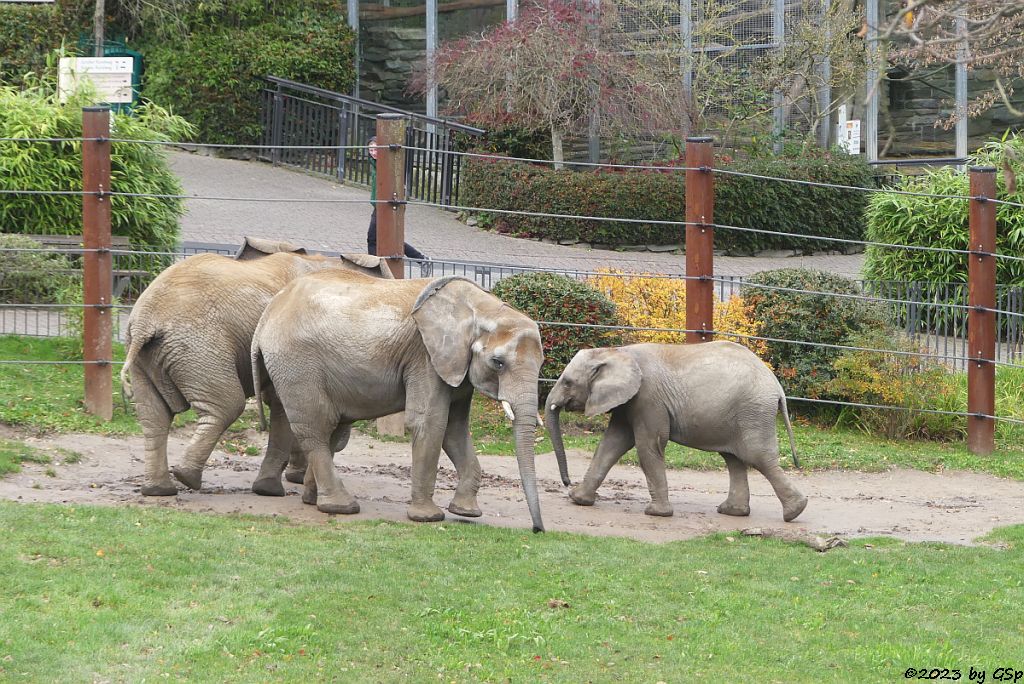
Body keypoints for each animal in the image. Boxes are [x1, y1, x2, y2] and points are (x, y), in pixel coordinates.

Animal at [119, 240, 391, 497]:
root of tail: (145, 321)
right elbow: (285, 408)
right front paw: (270, 489)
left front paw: (294, 479)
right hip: (198, 346)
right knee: (226, 405)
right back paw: (186, 477)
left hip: (147, 355)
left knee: (154, 416)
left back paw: (158, 489)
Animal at [250, 274, 548, 532]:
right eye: (498, 363)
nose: (537, 529)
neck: (483, 307)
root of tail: (269, 312)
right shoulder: (425, 356)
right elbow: (430, 422)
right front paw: (428, 518)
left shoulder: (457, 366)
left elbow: (455, 429)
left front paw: (467, 512)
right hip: (296, 366)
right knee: (316, 429)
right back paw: (342, 507)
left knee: (332, 431)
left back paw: (314, 500)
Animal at [544, 342, 806, 524]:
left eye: (567, 382)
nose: (566, 482)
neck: (617, 351)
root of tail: (776, 385)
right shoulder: (629, 401)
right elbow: (612, 443)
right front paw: (578, 499)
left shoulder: (648, 398)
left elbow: (648, 446)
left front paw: (655, 514)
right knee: (734, 458)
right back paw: (733, 512)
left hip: (753, 412)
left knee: (757, 457)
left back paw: (794, 512)